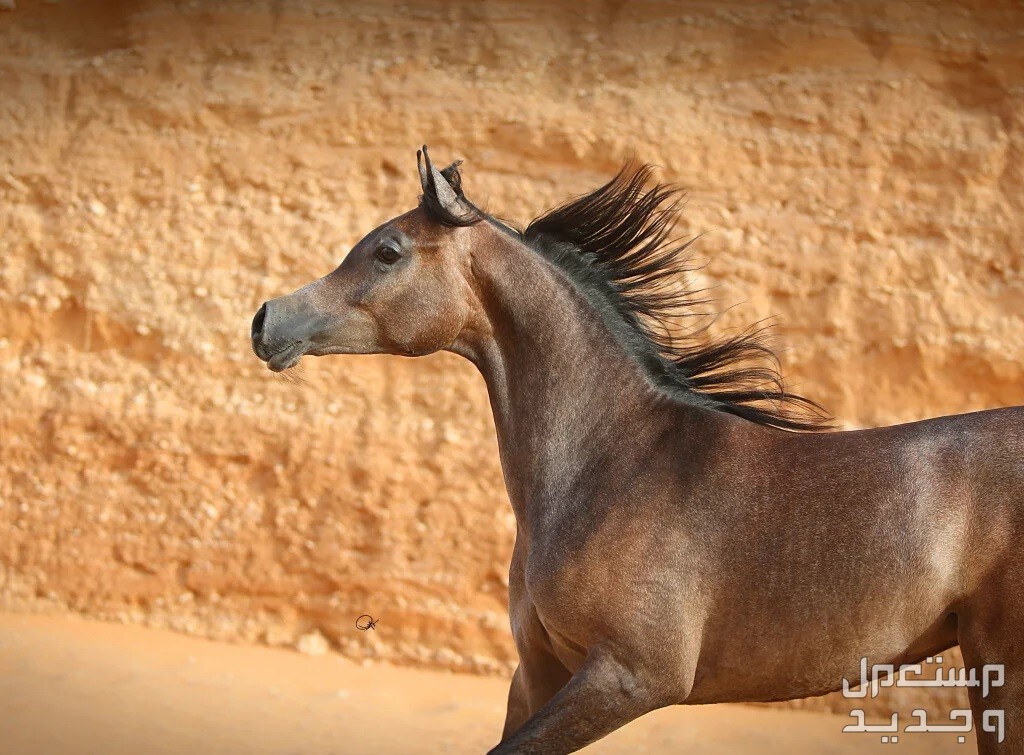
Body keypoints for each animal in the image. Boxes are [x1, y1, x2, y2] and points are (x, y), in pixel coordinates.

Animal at [249, 148, 1024, 753]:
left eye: (388, 251)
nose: (266, 320)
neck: (612, 465)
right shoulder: (539, 670)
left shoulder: (630, 677)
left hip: (1001, 667)